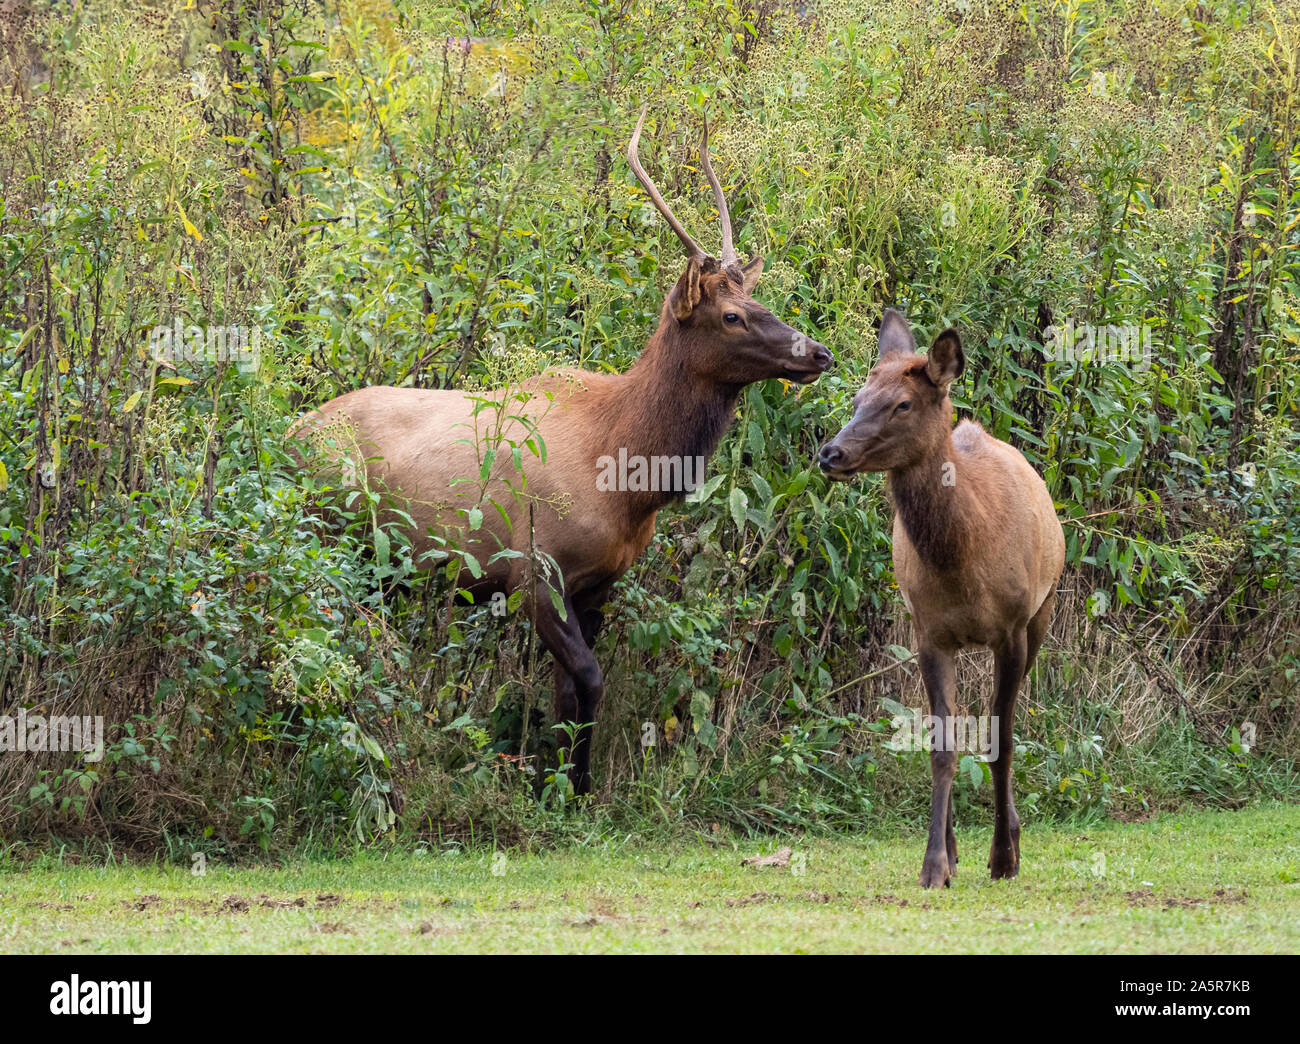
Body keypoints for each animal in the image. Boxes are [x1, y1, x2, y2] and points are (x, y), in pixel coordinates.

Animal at [292, 108, 833, 796]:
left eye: (759, 301)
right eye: (732, 316)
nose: (819, 353)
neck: (627, 478)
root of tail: (286, 435)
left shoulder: (599, 583)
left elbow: (570, 698)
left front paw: (569, 789)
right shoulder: (532, 573)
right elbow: (589, 683)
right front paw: (561, 787)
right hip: (334, 540)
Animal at [817, 309, 1064, 888]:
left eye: (902, 404)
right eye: (858, 397)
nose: (831, 453)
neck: (964, 561)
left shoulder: (1012, 630)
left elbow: (1002, 743)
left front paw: (1003, 856)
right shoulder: (928, 633)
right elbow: (942, 747)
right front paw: (936, 864)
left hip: (1042, 616)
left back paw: (1011, 839)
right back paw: (954, 852)